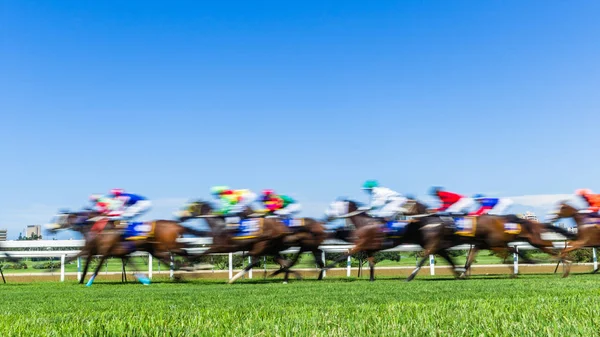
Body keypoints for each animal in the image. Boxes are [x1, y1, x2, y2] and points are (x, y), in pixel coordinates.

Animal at [47, 209, 207, 284]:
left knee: (184, 252)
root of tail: (176, 224)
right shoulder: (98, 251)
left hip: (167, 245)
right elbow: (77, 260)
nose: (50, 229)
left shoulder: (104, 251)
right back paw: (185, 272)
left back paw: (195, 267)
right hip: (158, 250)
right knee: (175, 257)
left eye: (60, 219)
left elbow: (96, 266)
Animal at [176, 201, 326, 282]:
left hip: (302, 244)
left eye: (189, 207)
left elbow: (199, 254)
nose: (180, 217)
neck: (219, 226)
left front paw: (192, 267)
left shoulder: (220, 247)